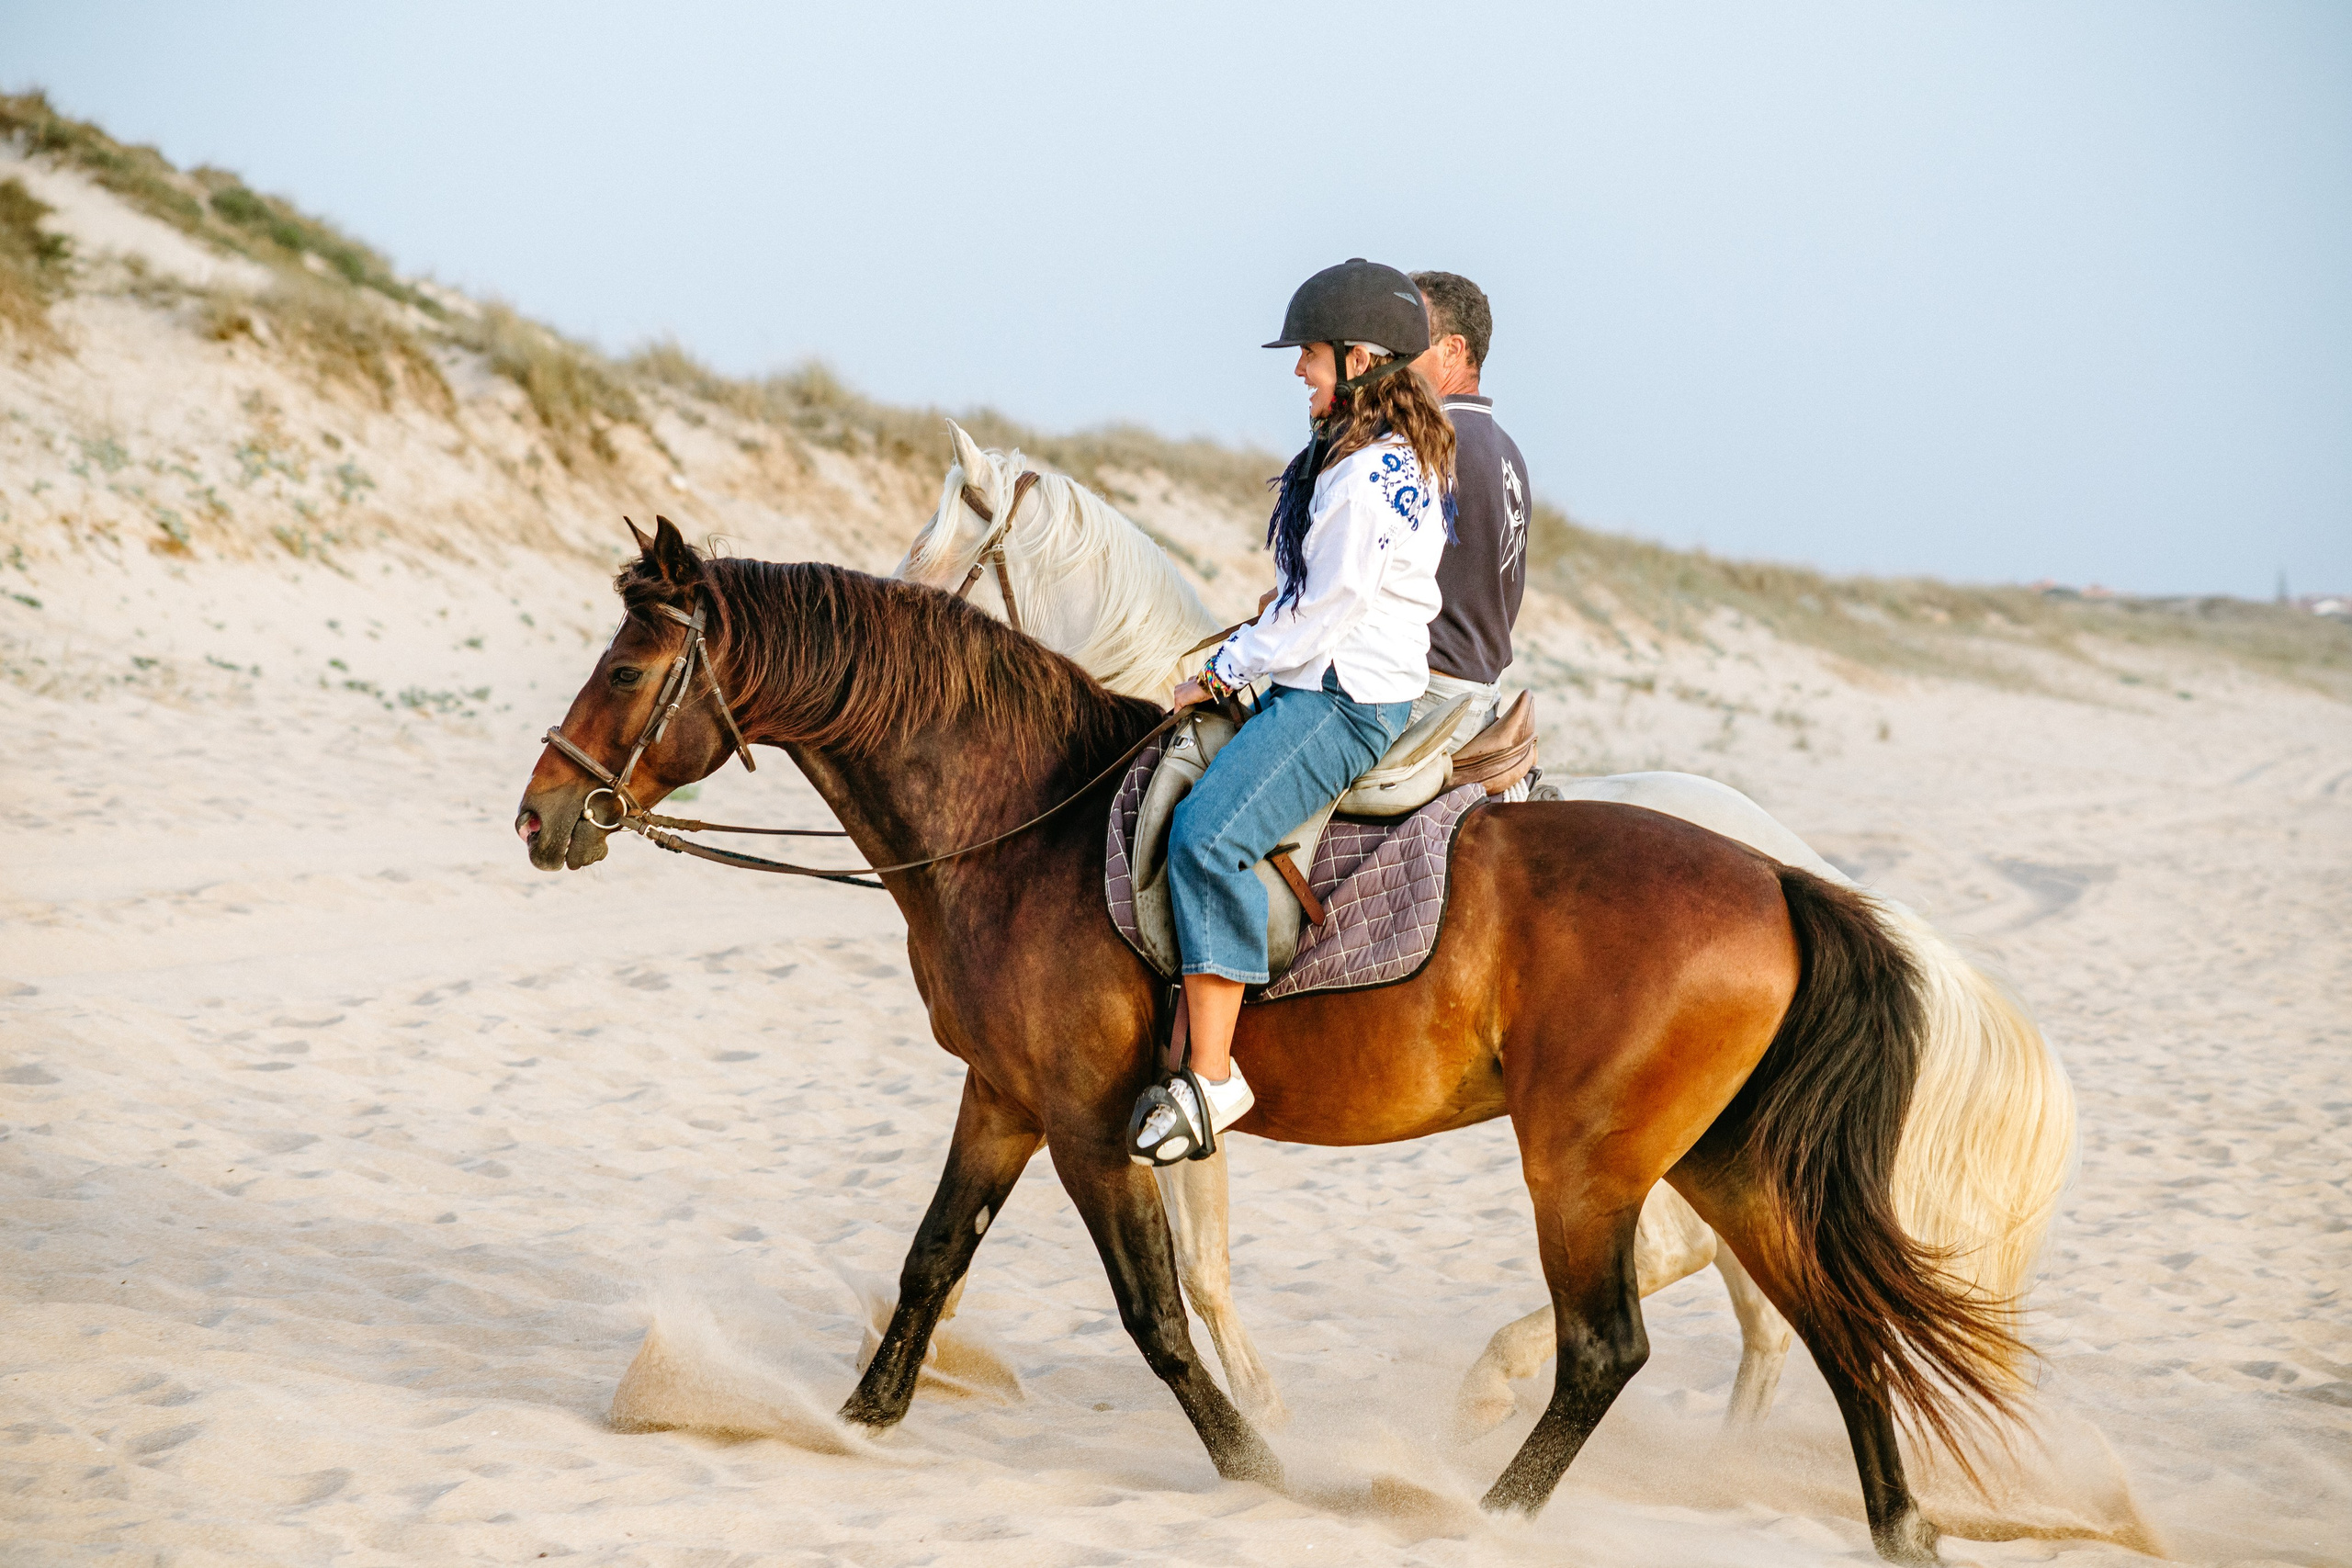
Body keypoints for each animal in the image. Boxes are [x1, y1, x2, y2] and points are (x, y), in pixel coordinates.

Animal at [517, 518, 2035, 1563]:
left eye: (629, 666)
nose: (541, 815)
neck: (1023, 821)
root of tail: (1776, 875)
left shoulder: (1091, 1123)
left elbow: (1157, 1310)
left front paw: (1261, 1467)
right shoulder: (1004, 1096)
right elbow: (932, 1259)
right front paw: (854, 1423)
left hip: (1588, 1164)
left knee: (1609, 1345)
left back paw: (1478, 1509)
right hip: (1724, 1160)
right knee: (1832, 1323)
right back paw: (1898, 1523)